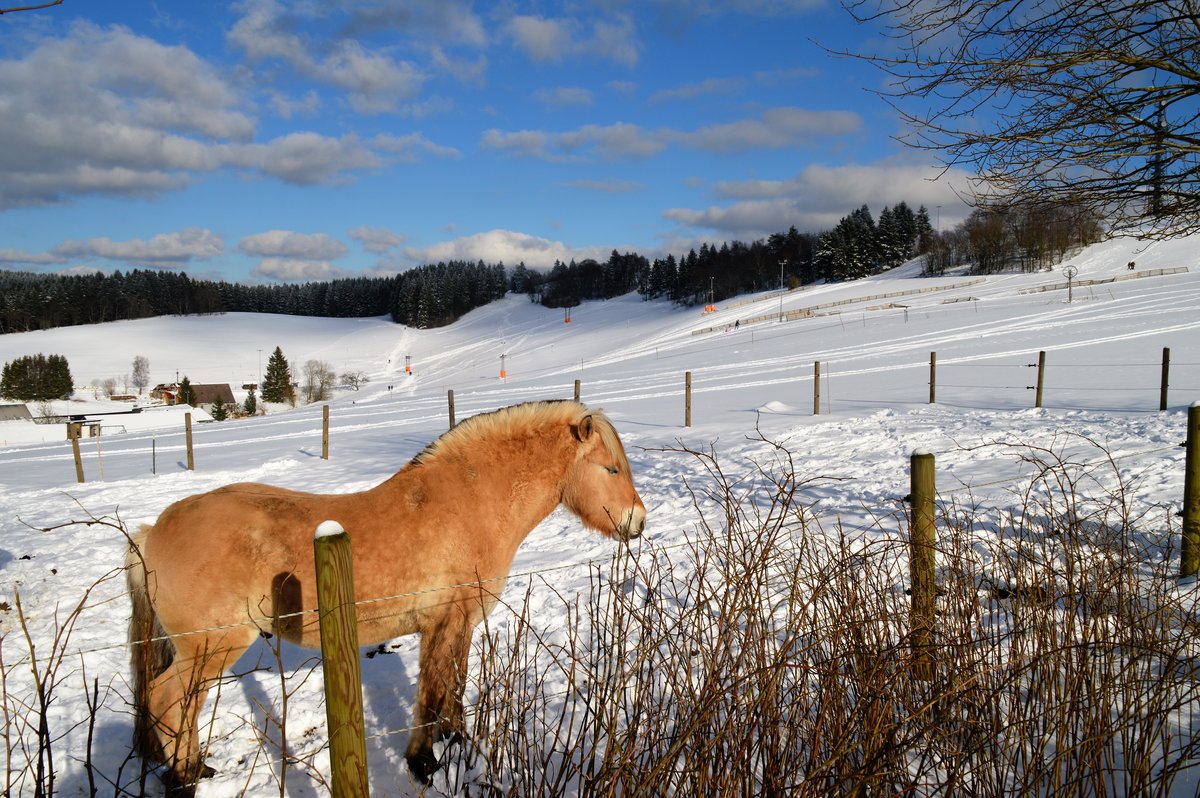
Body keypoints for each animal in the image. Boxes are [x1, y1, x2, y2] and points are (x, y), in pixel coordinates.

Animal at [126, 398, 648, 792]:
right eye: (610, 468)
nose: (638, 522)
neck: (469, 505)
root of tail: (153, 533)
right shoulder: (442, 622)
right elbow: (431, 693)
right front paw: (422, 763)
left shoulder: (459, 623)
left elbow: (453, 688)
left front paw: (456, 744)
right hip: (210, 647)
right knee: (166, 699)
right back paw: (186, 775)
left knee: (179, 706)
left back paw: (196, 767)